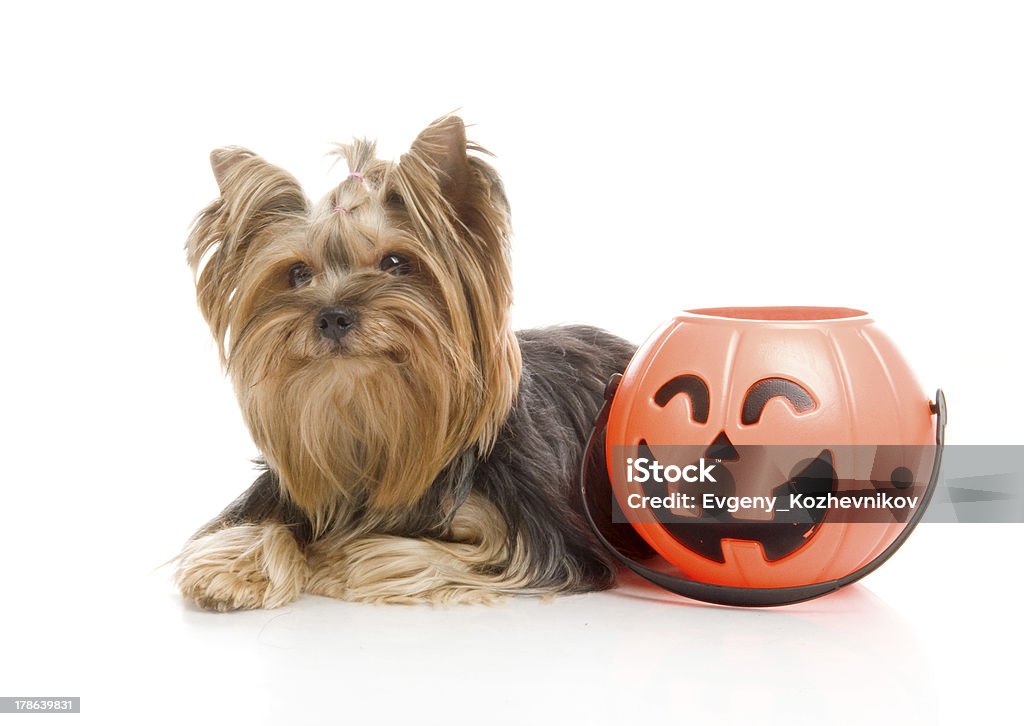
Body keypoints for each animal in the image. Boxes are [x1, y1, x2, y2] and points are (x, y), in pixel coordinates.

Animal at [175, 116, 647, 610]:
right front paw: (231, 569)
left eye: (395, 261)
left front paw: (340, 560)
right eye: (298, 273)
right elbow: (265, 524)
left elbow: (454, 554)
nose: (332, 316)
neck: (376, 414)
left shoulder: (532, 537)